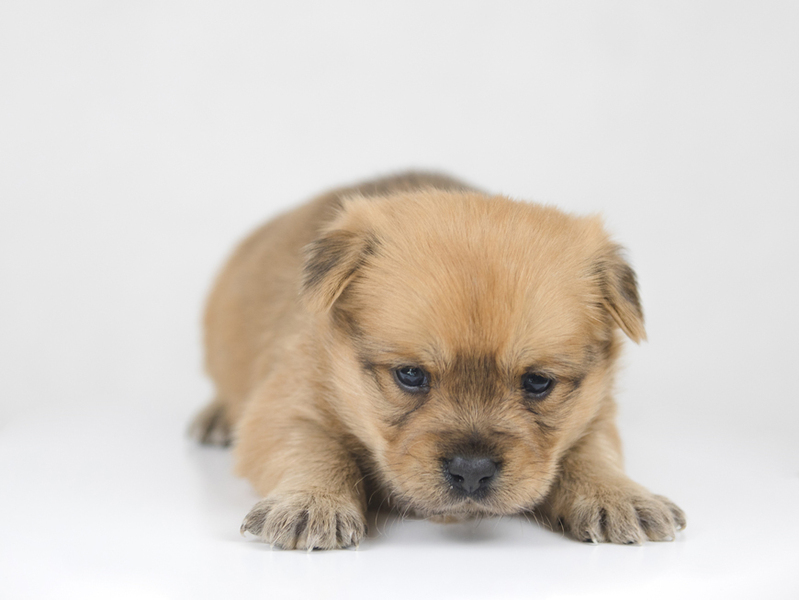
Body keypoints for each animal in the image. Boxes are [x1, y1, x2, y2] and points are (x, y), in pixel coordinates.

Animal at [190, 172, 686, 549]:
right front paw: (312, 502)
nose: (472, 471)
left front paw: (619, 495)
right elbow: (315, 450)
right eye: (410, 375)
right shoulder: (283, 410)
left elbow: (591, 453)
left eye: (538, 382)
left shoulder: (596, 414)